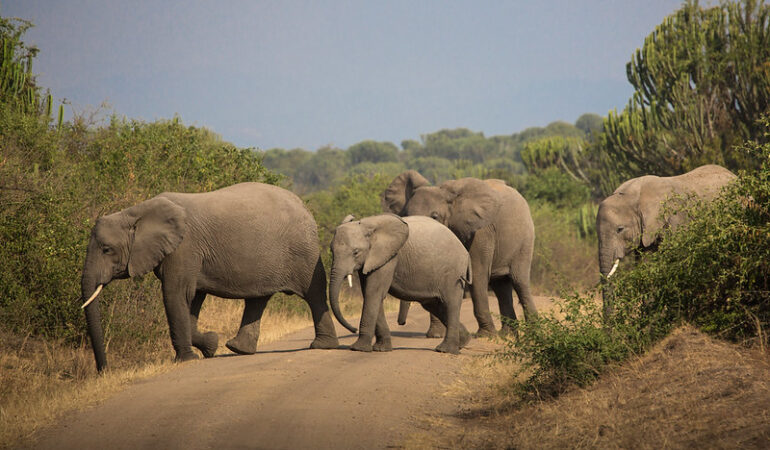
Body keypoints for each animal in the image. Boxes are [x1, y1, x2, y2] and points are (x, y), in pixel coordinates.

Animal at [79, 181, 340, 370]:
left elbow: (175, 295)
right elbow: (191, 300)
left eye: (106, 249)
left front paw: (187, 359)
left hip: (303, 251)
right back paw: (237, 349)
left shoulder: (184, 248)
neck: (135, 211)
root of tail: (304, 205)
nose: (104, 370)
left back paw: (321, 346)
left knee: (314, 293)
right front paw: (211, 346)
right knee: (258, 298)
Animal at [328, 213, 472, 354]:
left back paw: (446, 350)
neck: (368, 225)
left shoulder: (389, 257)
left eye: (356, 252)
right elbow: (371, 293)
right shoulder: (373, 259)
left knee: (451, 304)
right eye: (331, 251)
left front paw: (358, 348)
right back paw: (463, 342)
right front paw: (381, 349)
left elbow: (373, 293)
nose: (353, 329)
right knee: (434, 306)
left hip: (453, 273)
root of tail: (465, 251)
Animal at [380, 171, 536, 336]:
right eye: (405, 215)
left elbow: (477, 273)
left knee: (519, 281)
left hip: (525, 239)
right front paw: (436, 335)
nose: (401, 323)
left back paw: (532, 333)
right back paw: (507, 335)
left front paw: (486, 336)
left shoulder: (481, 231)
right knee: (501, 286)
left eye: (435, 216)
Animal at [592, 164, 732, 316]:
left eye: (620, 229)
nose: (608, 323)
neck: (633, 196)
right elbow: (645, 264)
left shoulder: (677, 220)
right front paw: (648, 315)